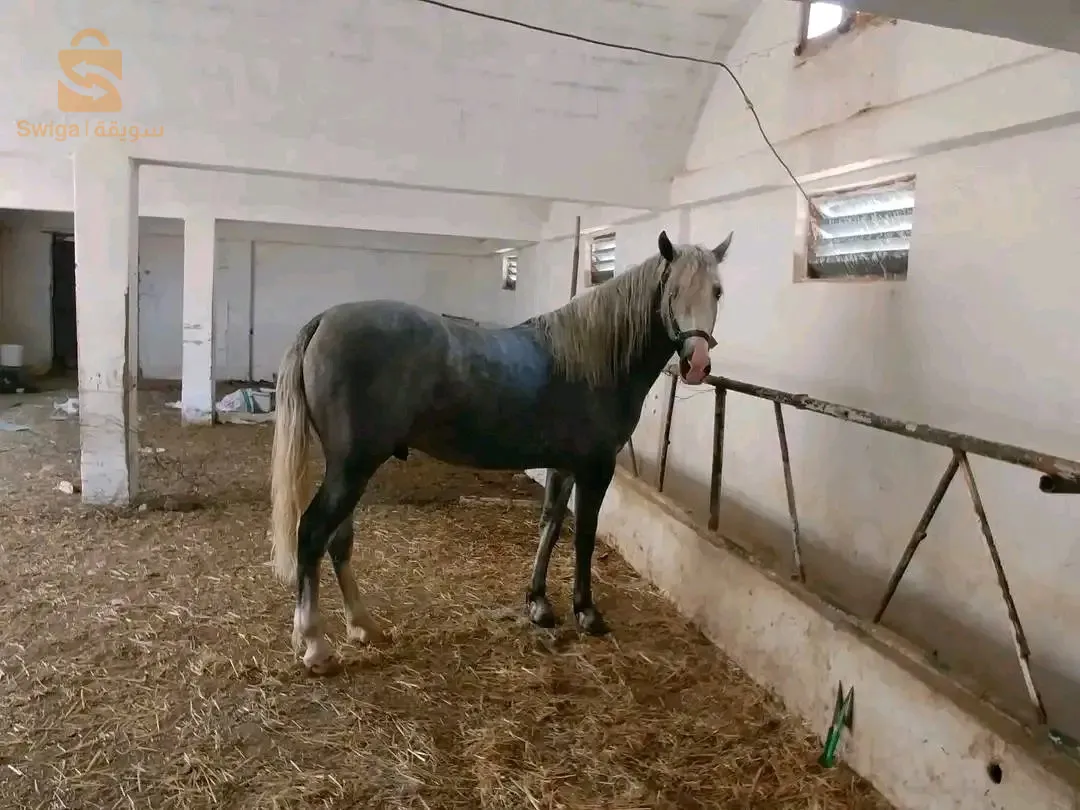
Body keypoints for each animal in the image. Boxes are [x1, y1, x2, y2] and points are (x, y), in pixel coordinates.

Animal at [268, 228, 734, 674]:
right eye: (673, 290)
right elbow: (583, 535)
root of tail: (324, 320)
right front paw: (586, 612)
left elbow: (550, 526)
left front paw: (539, 603)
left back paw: (363, 626)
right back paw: (315, 645)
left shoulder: (564, 467)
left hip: (351, 468)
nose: (696, 364)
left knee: (338, 539)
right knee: (312, 532)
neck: (595, 358)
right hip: (352, 467)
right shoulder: (595, 468)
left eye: (717, 291)